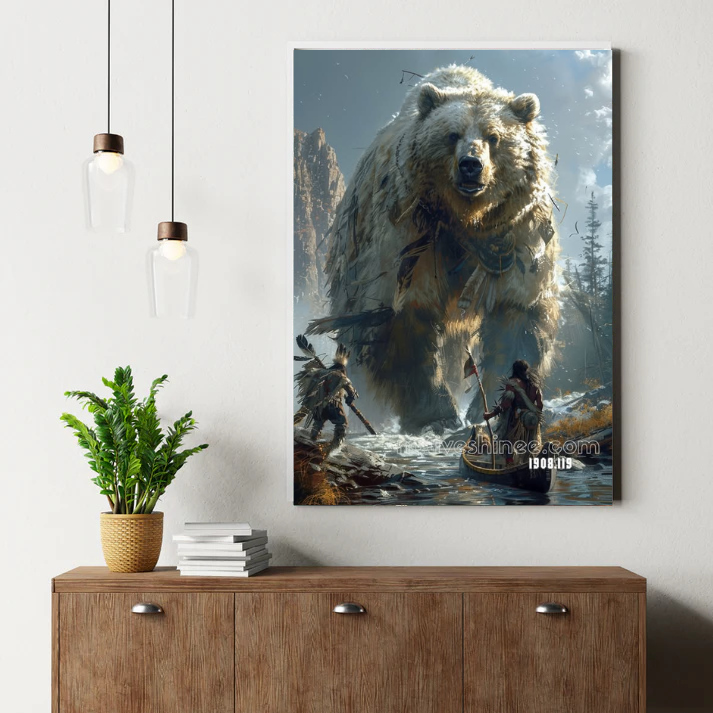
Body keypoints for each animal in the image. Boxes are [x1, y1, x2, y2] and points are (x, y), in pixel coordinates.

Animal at [307, 65, 560, 434]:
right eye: (452, 135)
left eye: (494, 136)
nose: (471, 165)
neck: (466, 220)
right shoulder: (412, 237)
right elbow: (403, 318)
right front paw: (437, 415)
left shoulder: (515, 237)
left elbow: (516, 315)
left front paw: (494, 401)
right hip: (352, 258)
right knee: (358, 331)